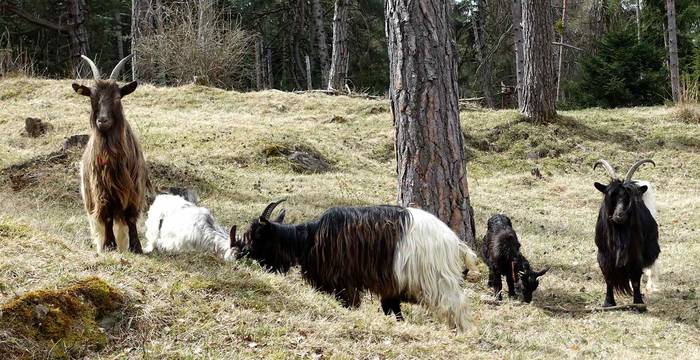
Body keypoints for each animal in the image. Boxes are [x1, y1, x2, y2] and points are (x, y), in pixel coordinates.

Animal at [72, 54, 149, 255]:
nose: (103, 120)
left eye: (117, 97)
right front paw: (109, 245)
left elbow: (130, 217)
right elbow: (106, 216)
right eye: (92, 97)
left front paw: (136, 247)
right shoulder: (101, 188)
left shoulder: (133, 186)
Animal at [592, 159, 660, 308]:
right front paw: (608, 303)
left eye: (628, 199)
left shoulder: (636, 253)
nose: (620, 215)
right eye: (611, 197)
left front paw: (639, 304)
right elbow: (609, 279)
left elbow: (636, 280)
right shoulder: (604, 255)